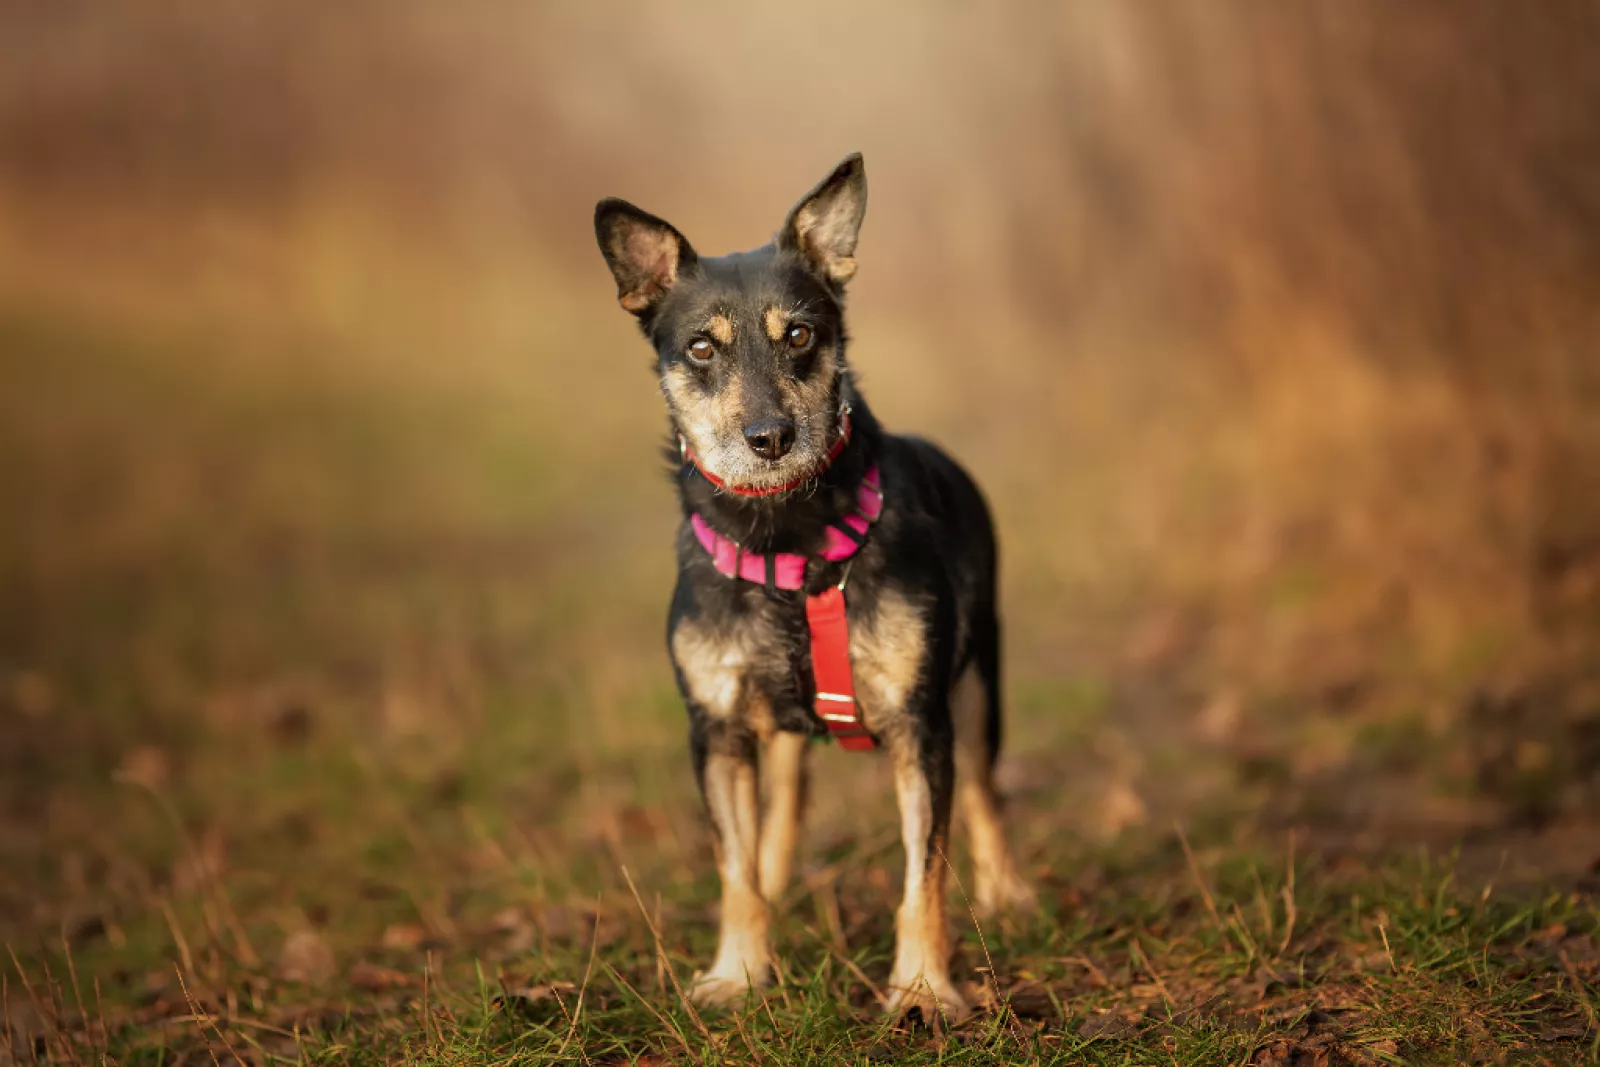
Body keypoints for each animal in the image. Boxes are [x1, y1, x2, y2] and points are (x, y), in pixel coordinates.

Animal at [594, 154, 1034, 1023]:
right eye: (701, 347)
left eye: (799, 334)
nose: (770, 438)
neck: (784, 542)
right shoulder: (717, 731)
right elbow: (734, 867)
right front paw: (738, 971)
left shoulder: (920, 726)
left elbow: (924, 871)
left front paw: (923, 987)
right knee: (785, 806)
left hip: (978, 687)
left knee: (985, 796)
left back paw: (1007, 892)